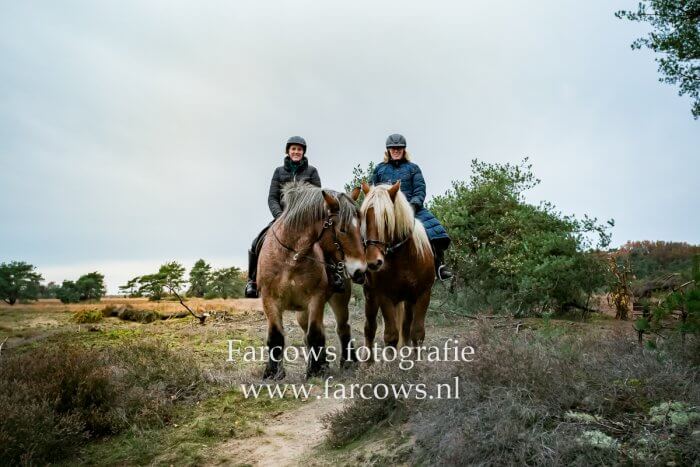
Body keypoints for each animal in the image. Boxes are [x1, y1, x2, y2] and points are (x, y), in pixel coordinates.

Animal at [256, 182, 366, 380]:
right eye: (342, 229)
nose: (360, 271)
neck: (292, 257)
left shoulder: (316, 298)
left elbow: (315, 334)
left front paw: (315, 371)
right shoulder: (269, 299)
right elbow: (276, 336)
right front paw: (273, 373)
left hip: (339, 299)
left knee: (342, 327)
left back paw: (348, 362)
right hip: (302, 313)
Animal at [358, 181, 434, 352]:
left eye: (387, 219)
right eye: (364, 218)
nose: (373, 262)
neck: (403, 259)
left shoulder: (423, 294)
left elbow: (417, 334)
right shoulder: (384, 296)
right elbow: (391, 336)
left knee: (405, 329)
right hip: (370, 295)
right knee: (370, 328)